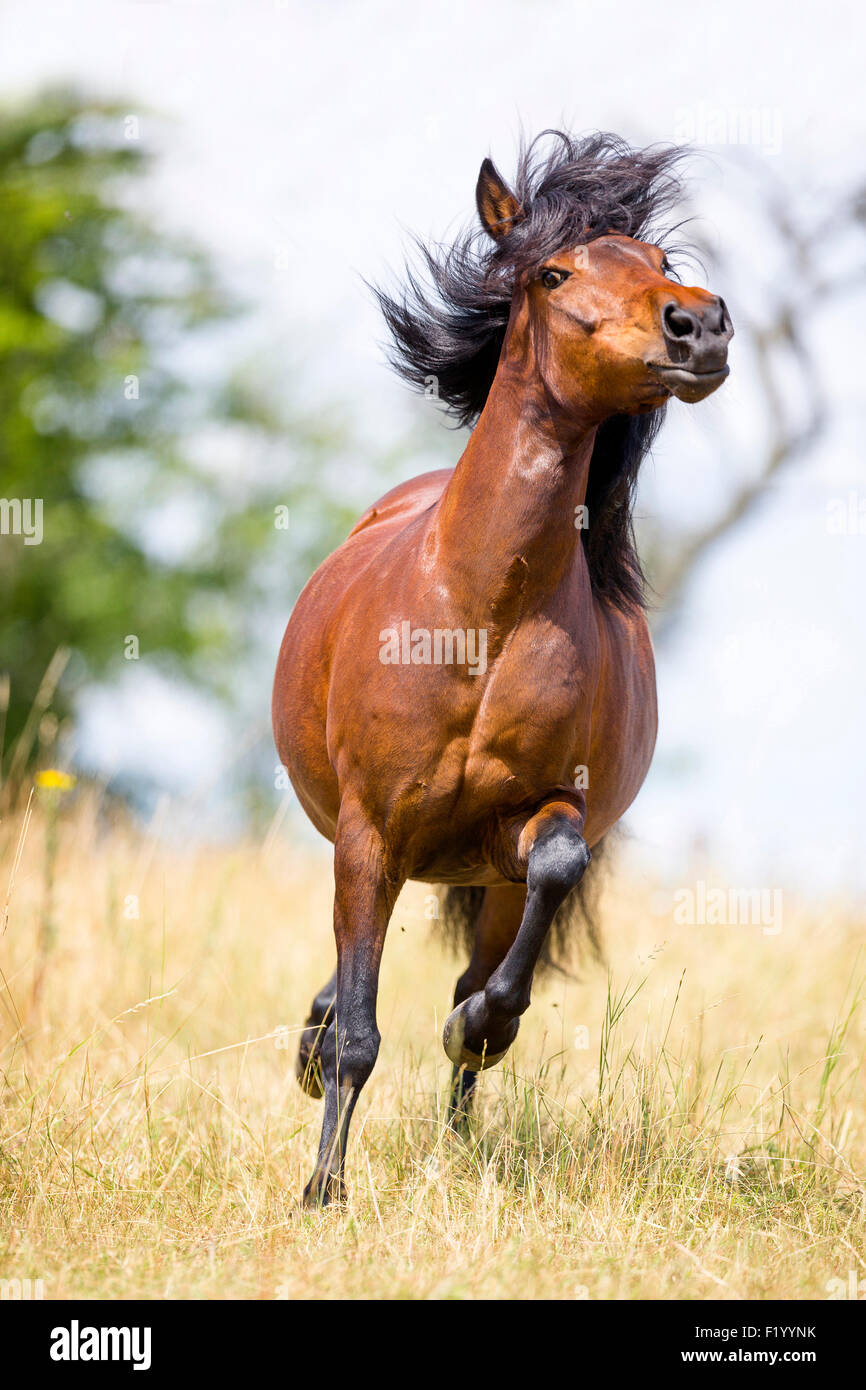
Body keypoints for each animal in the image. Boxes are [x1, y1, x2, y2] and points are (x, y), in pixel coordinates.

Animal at [272, 130, 733, 1207]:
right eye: (552, 273)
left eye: (659, 259)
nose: (698, 326)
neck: (478, 615)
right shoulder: (369, 832)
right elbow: (359, 1033)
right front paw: (323, 1191)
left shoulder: (529, 826)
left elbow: (544, 887)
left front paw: (478, 1026)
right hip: (387, 855)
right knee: (346, 988)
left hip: (481, 878)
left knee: (461, 977)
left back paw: (457, 1117)